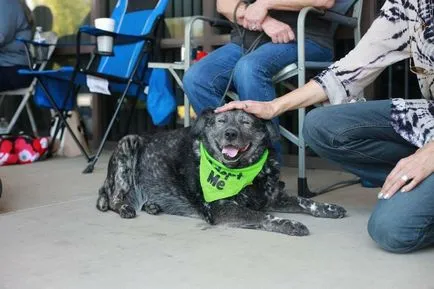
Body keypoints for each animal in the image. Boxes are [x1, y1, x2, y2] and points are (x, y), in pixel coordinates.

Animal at [97, 109, 346, 235]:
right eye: (221, 121)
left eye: (246, 122)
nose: (230, 133)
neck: (245, 172)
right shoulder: (222, 208)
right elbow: (262, 216)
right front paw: (290, 224)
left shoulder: (273, 197)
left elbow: (306, 201)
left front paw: (329, 208)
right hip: (127, 143)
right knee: (114, 198)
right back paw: (126, 207)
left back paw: (152, 205)